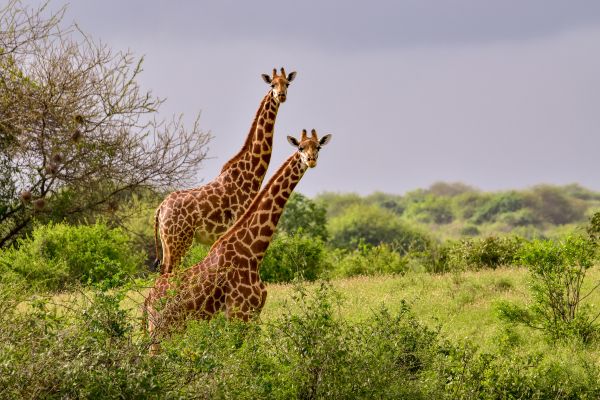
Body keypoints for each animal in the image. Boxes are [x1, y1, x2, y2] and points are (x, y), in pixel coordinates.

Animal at [144, 129, 332, 346]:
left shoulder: (254, 315)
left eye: (318, 147)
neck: (252, 251)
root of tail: (148, 299)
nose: (311, 160)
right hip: (161, 328)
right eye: (301, 147)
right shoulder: (239, 314)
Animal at [154, 68, 296, 276]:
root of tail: (160, 209)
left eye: (287, 84)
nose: (281, 95)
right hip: (178, 240)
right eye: (272, 84)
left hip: (167, 242)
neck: (251, 175)